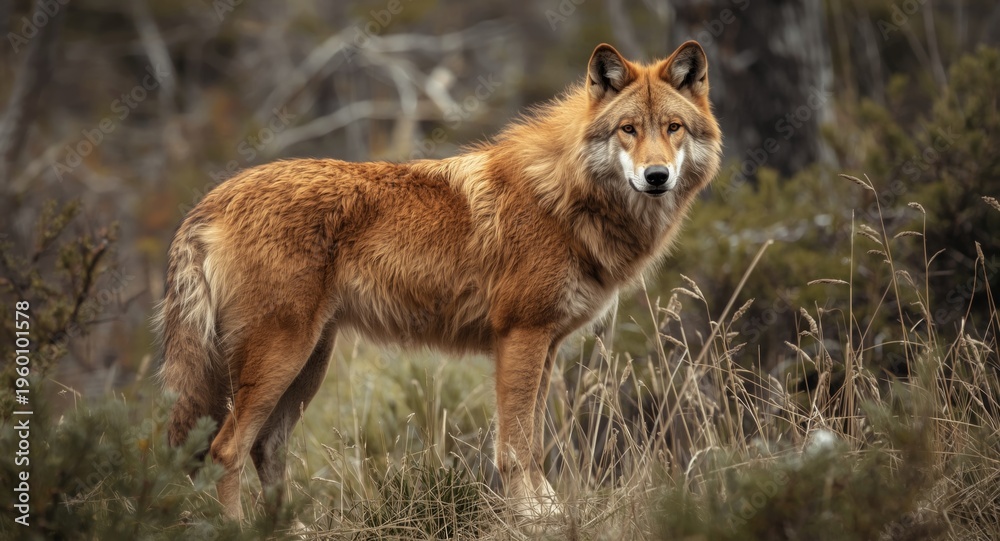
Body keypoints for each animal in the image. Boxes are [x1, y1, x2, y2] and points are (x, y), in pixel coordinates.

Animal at [156, 41, 722, 519]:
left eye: (673, 127)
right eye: (628, 129)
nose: (656, 176)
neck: (564, 195)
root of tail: (211, 200)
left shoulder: (546, 345)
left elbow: (533, 443)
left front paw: (547, 511)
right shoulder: (520, 335)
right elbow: (516, 448)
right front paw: (533, 516)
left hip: (307, 363)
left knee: (265, 447)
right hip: (281, 357)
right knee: (224, 450)